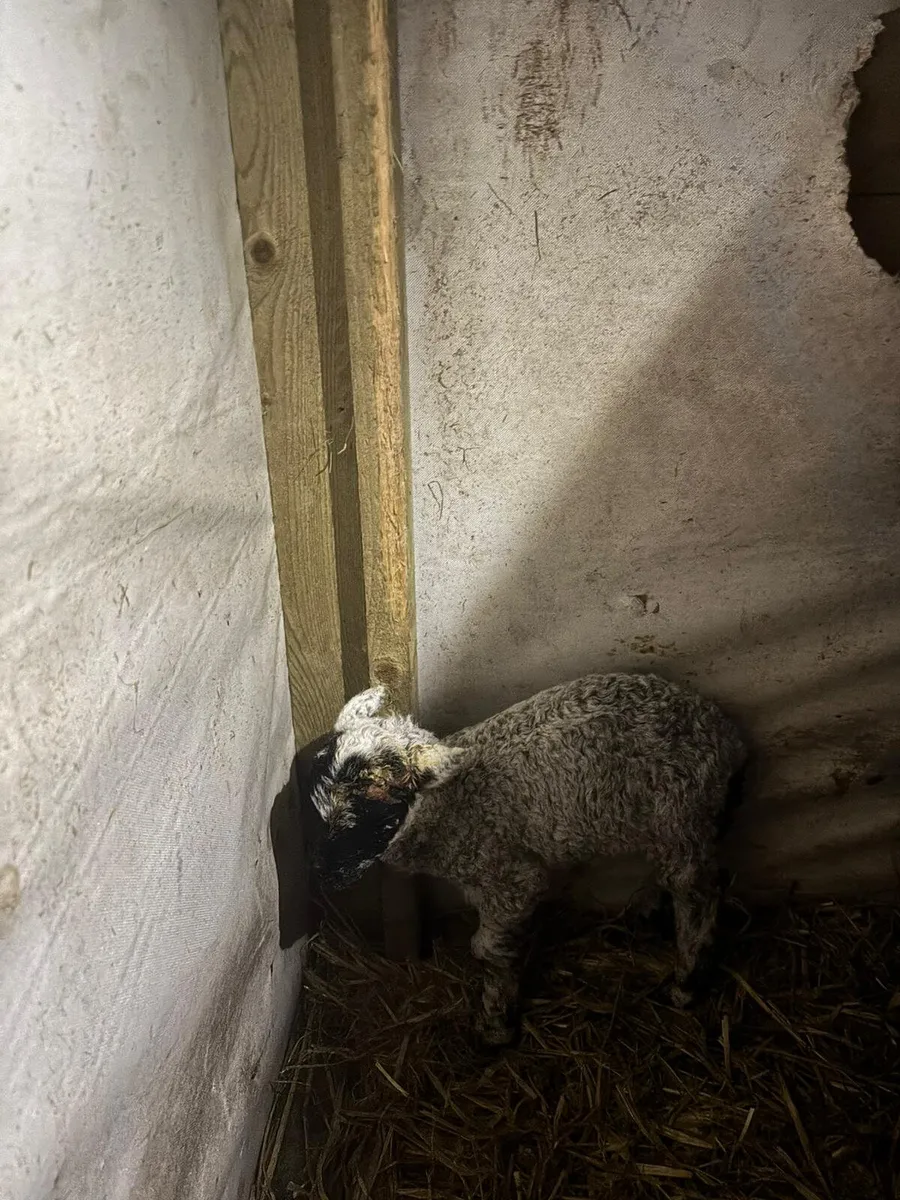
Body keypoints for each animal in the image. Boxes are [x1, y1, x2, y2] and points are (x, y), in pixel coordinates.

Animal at [306, 672, 747, 1047]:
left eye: (378, 800)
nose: (323, 877)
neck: (450, 804)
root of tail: (728, 736)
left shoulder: (508, 876)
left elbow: (487, 948)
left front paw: (495, 1027)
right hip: (674, 826)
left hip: (681, 815)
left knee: (699, 894)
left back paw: (686, 984)